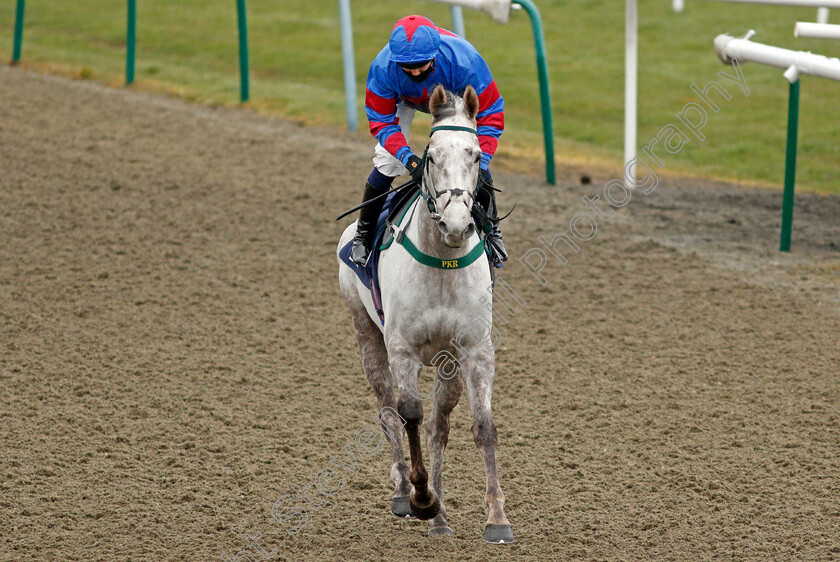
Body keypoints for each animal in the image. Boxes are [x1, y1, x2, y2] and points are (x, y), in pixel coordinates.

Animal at [334, 84, 512, 544]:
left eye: (475, 155)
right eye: (430, 156)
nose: (456, 223)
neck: (442, 265)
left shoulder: (474, 351)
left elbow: (482, 426)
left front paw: (496, 518)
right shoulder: (403, 349)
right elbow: (408, 414)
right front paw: (420, 497)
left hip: (447, 364)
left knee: (439, 426)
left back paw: (442, 517)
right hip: (366, 333)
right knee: (387, 410)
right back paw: (405, 494)